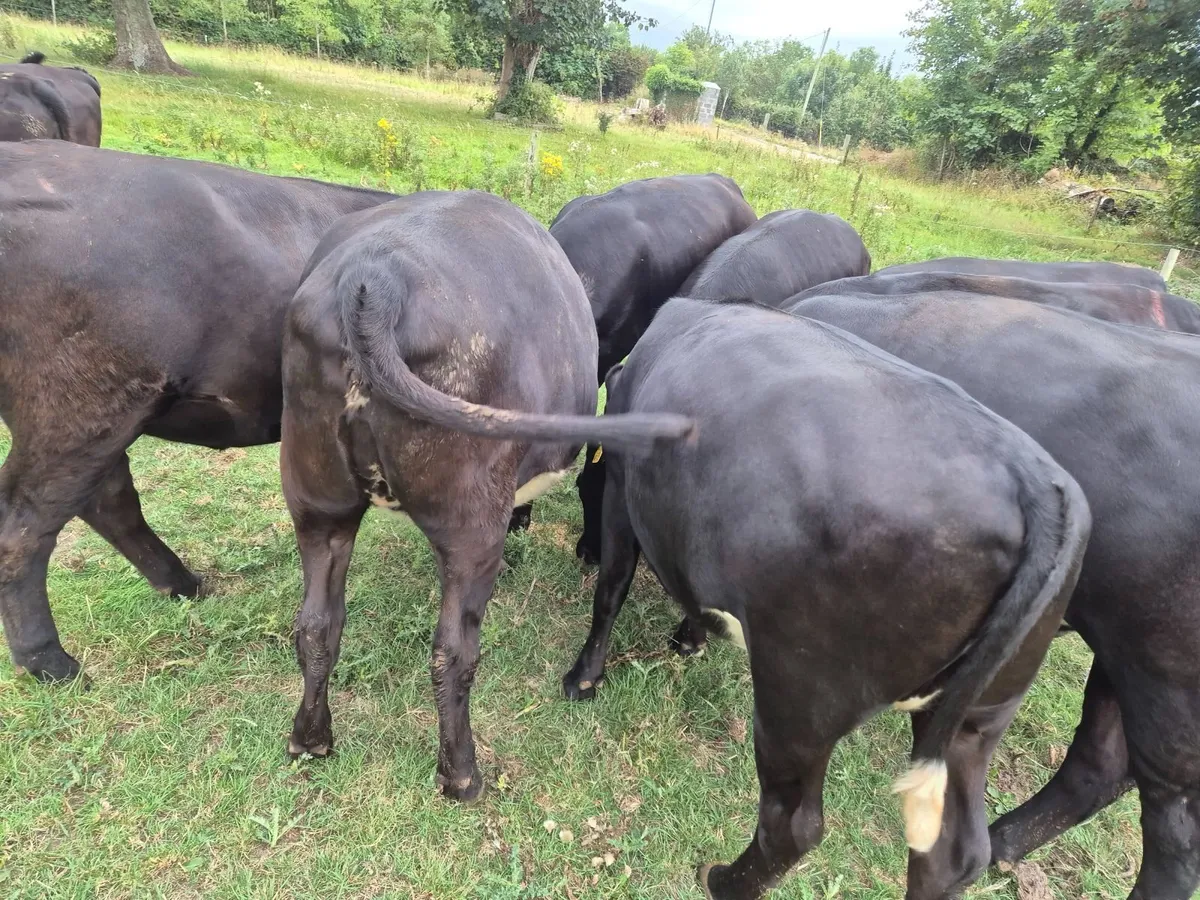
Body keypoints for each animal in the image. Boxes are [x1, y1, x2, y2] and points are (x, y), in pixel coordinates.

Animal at [280, 190, 694, 803]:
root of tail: (377, 275)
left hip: (317, 503)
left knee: (316, 624)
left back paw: (311, 738)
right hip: (470, 528)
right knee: (452, 651)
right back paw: (461, 774)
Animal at [561, 296, 1090, 900]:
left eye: (585, 483)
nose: (582, 550)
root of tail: (1033, 481)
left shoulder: (622, 488)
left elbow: (613, 586)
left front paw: (583, 678)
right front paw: (689, 638)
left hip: (800, 694)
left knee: (793, 825)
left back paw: (722, 881)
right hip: (978, 718)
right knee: (953, 853)